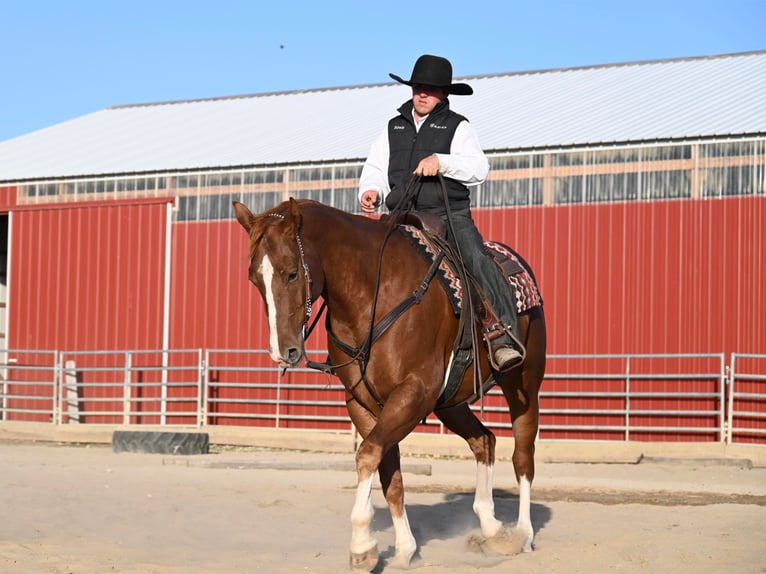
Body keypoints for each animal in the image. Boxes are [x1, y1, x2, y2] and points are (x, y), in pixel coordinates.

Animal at [234, 198, 544, 572]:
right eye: (254, 278)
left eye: (292, 272)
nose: (284, 351)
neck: (372, 295)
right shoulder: (365, 403)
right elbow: (389, 473)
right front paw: (403, 548)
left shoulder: (413, 393)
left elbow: (368, 455)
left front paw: (362, 545)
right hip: (450, 402)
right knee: (483, 440)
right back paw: (491, 526)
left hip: (524, 382)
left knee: (523, 455)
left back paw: (522, 534)